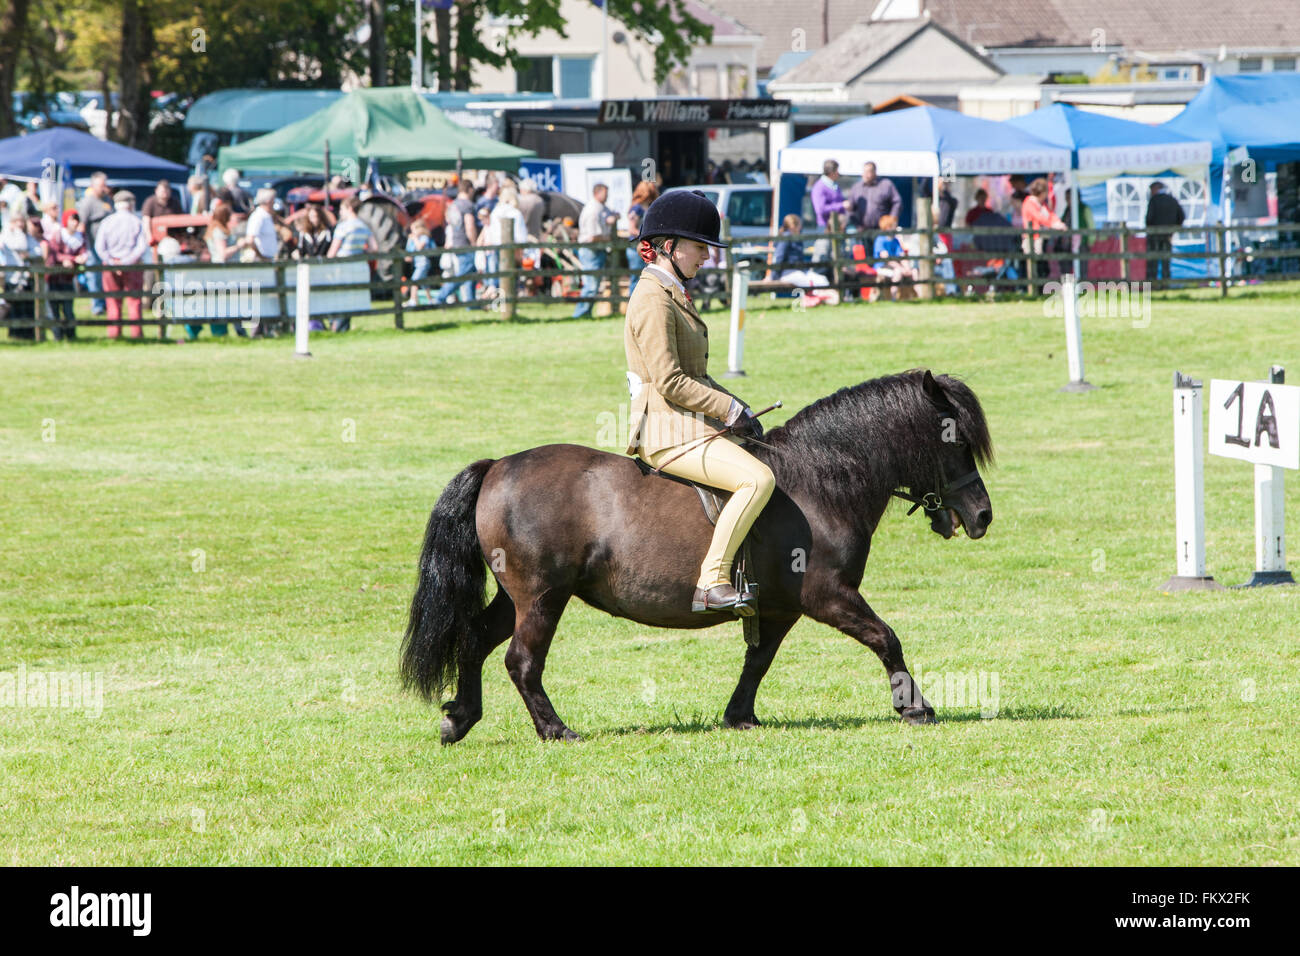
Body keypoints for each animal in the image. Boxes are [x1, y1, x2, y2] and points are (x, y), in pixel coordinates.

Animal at [405, 369, 993, 743]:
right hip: (543, 597)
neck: (822, 480)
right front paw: (915, 707)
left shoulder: (780, 608)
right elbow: (885, 638)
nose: (983, 515)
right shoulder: (828, 595)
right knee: (522, 661)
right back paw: (556, 730)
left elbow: (758, 661)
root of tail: (498, 466)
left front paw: (739, 716)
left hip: (517, 597)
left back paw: (459, 718)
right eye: (955, 440)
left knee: (475, 640)